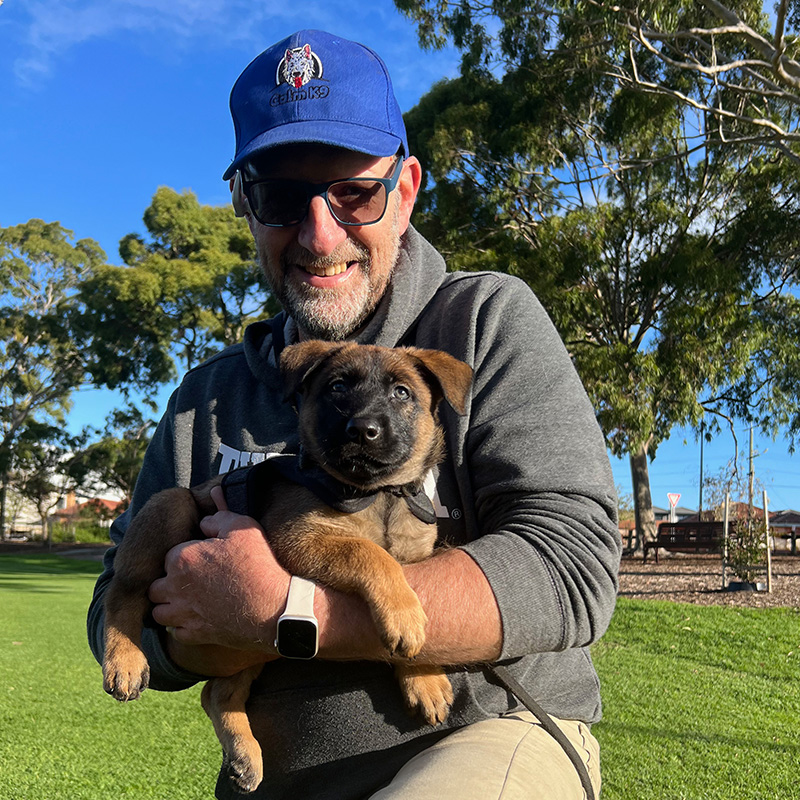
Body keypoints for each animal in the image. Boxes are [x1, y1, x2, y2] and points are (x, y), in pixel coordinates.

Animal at [102, 342, 472, 792]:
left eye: (402, 393)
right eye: (337, 387)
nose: (362, 430)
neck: (378, 494)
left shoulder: (416, 556)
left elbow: (406, 581)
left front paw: (425, 677)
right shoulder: (299, 537)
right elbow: (371, 554)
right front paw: (404, 619)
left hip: (248, 647)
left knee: (217, 694)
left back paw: (245, 756)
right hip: (172, 505)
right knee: (123, 591)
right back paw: (124, 662)